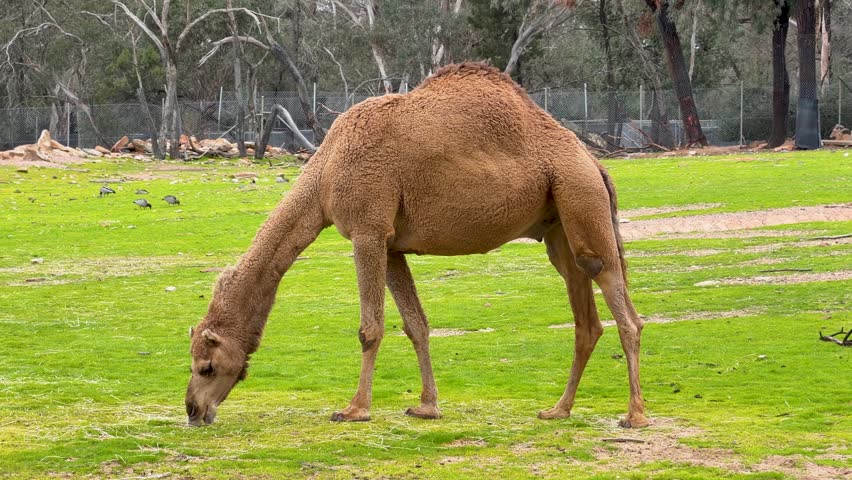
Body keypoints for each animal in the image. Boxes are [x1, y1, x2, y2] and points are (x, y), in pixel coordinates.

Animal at [185, 63, 648, 429]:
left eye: (206, 367)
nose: (193, 410)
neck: (325, 171)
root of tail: (595, 162)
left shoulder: (368, 230)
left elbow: (370, 328)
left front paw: (354, 409)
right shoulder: (391, 245)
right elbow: (416, 324)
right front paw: (427, 406)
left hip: (580, 198)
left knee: (621, 304)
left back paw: (634, 415)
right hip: (559, 224)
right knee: (585, 315)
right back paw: (557, 410)